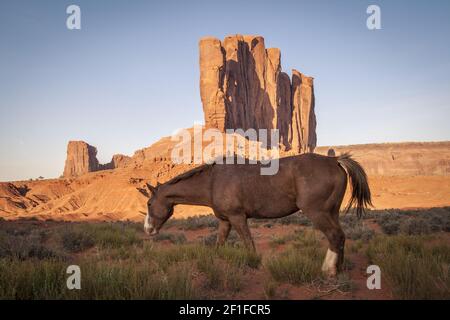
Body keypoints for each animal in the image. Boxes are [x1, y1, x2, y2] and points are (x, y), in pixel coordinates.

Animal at [142, 153, 372, 278]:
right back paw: (338, 269)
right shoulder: (225, 221)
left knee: (334, 236)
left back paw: (329, 270)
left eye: (149, 203)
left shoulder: (237, 218)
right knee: (340, 237)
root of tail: (335, 161)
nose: (148, 230)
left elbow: (249, 245)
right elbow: (219, 245)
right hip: (332, 212)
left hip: (318, 212)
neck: (213, 181)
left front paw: (254, 264)